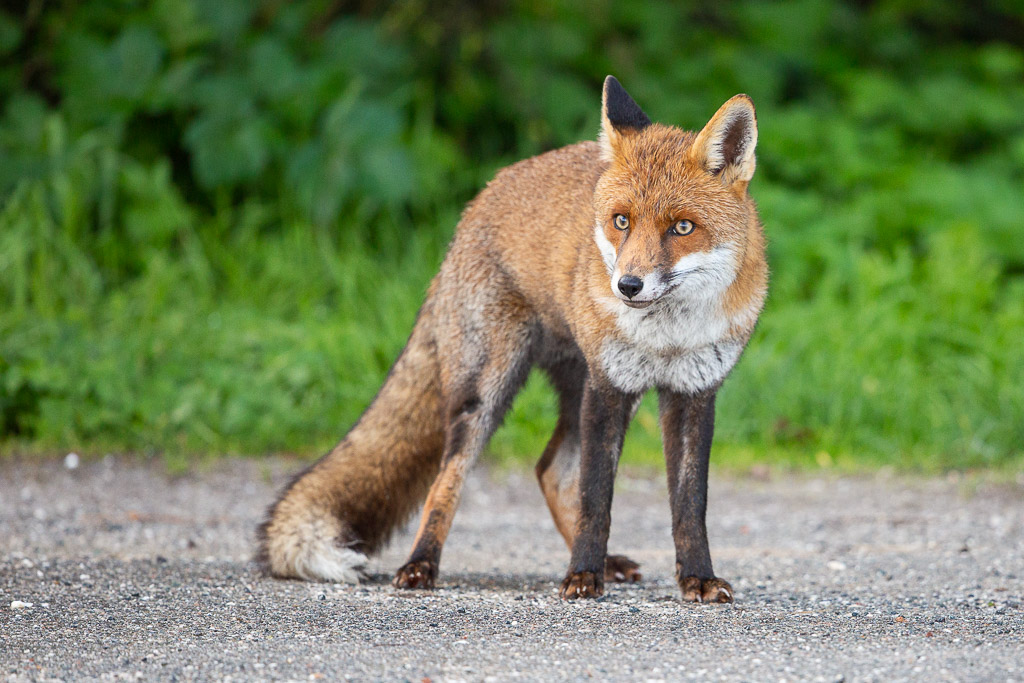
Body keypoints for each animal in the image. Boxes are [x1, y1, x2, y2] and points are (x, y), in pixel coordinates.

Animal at [258, 76, 767, 603]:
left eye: (682, 227)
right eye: (621, 221)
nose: (627, 285)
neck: (668, 338)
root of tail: (478, 200)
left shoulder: (692, 394)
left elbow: (689, 506)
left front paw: (697, 578)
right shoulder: (609, 389)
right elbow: (597, 499)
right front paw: (582, 575)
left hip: (576, 389)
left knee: (550, 470)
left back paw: (606, 562)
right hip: (489, 389)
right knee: (448, 479)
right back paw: (421, 565)